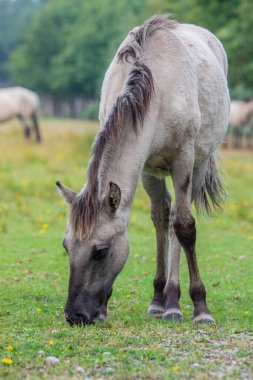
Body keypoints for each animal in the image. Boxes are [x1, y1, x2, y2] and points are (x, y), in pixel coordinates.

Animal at [56, 15, 230, 326]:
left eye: (101, 252)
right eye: (67, 246)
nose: (76, 315)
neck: (158, 88)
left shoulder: (183, 160)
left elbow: (185, 227)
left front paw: (200, 307)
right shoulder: (146, 166)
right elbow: (160, 220)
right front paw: (108, 308)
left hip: (198, 165)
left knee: (178, 221)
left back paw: (173, 302)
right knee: (163, 217)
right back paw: (161, 299)